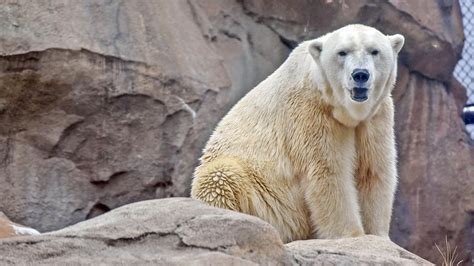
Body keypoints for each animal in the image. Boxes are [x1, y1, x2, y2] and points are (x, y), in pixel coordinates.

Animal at [191, 25, 406, 243]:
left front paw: (379, 236)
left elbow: (373, 171)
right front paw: (352, 235)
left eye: (374, 51)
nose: (360, 74)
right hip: (262, 195)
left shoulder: (376, 117)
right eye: (342, 52)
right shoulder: (309, 110)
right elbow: (328, 171)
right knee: (222, 175)